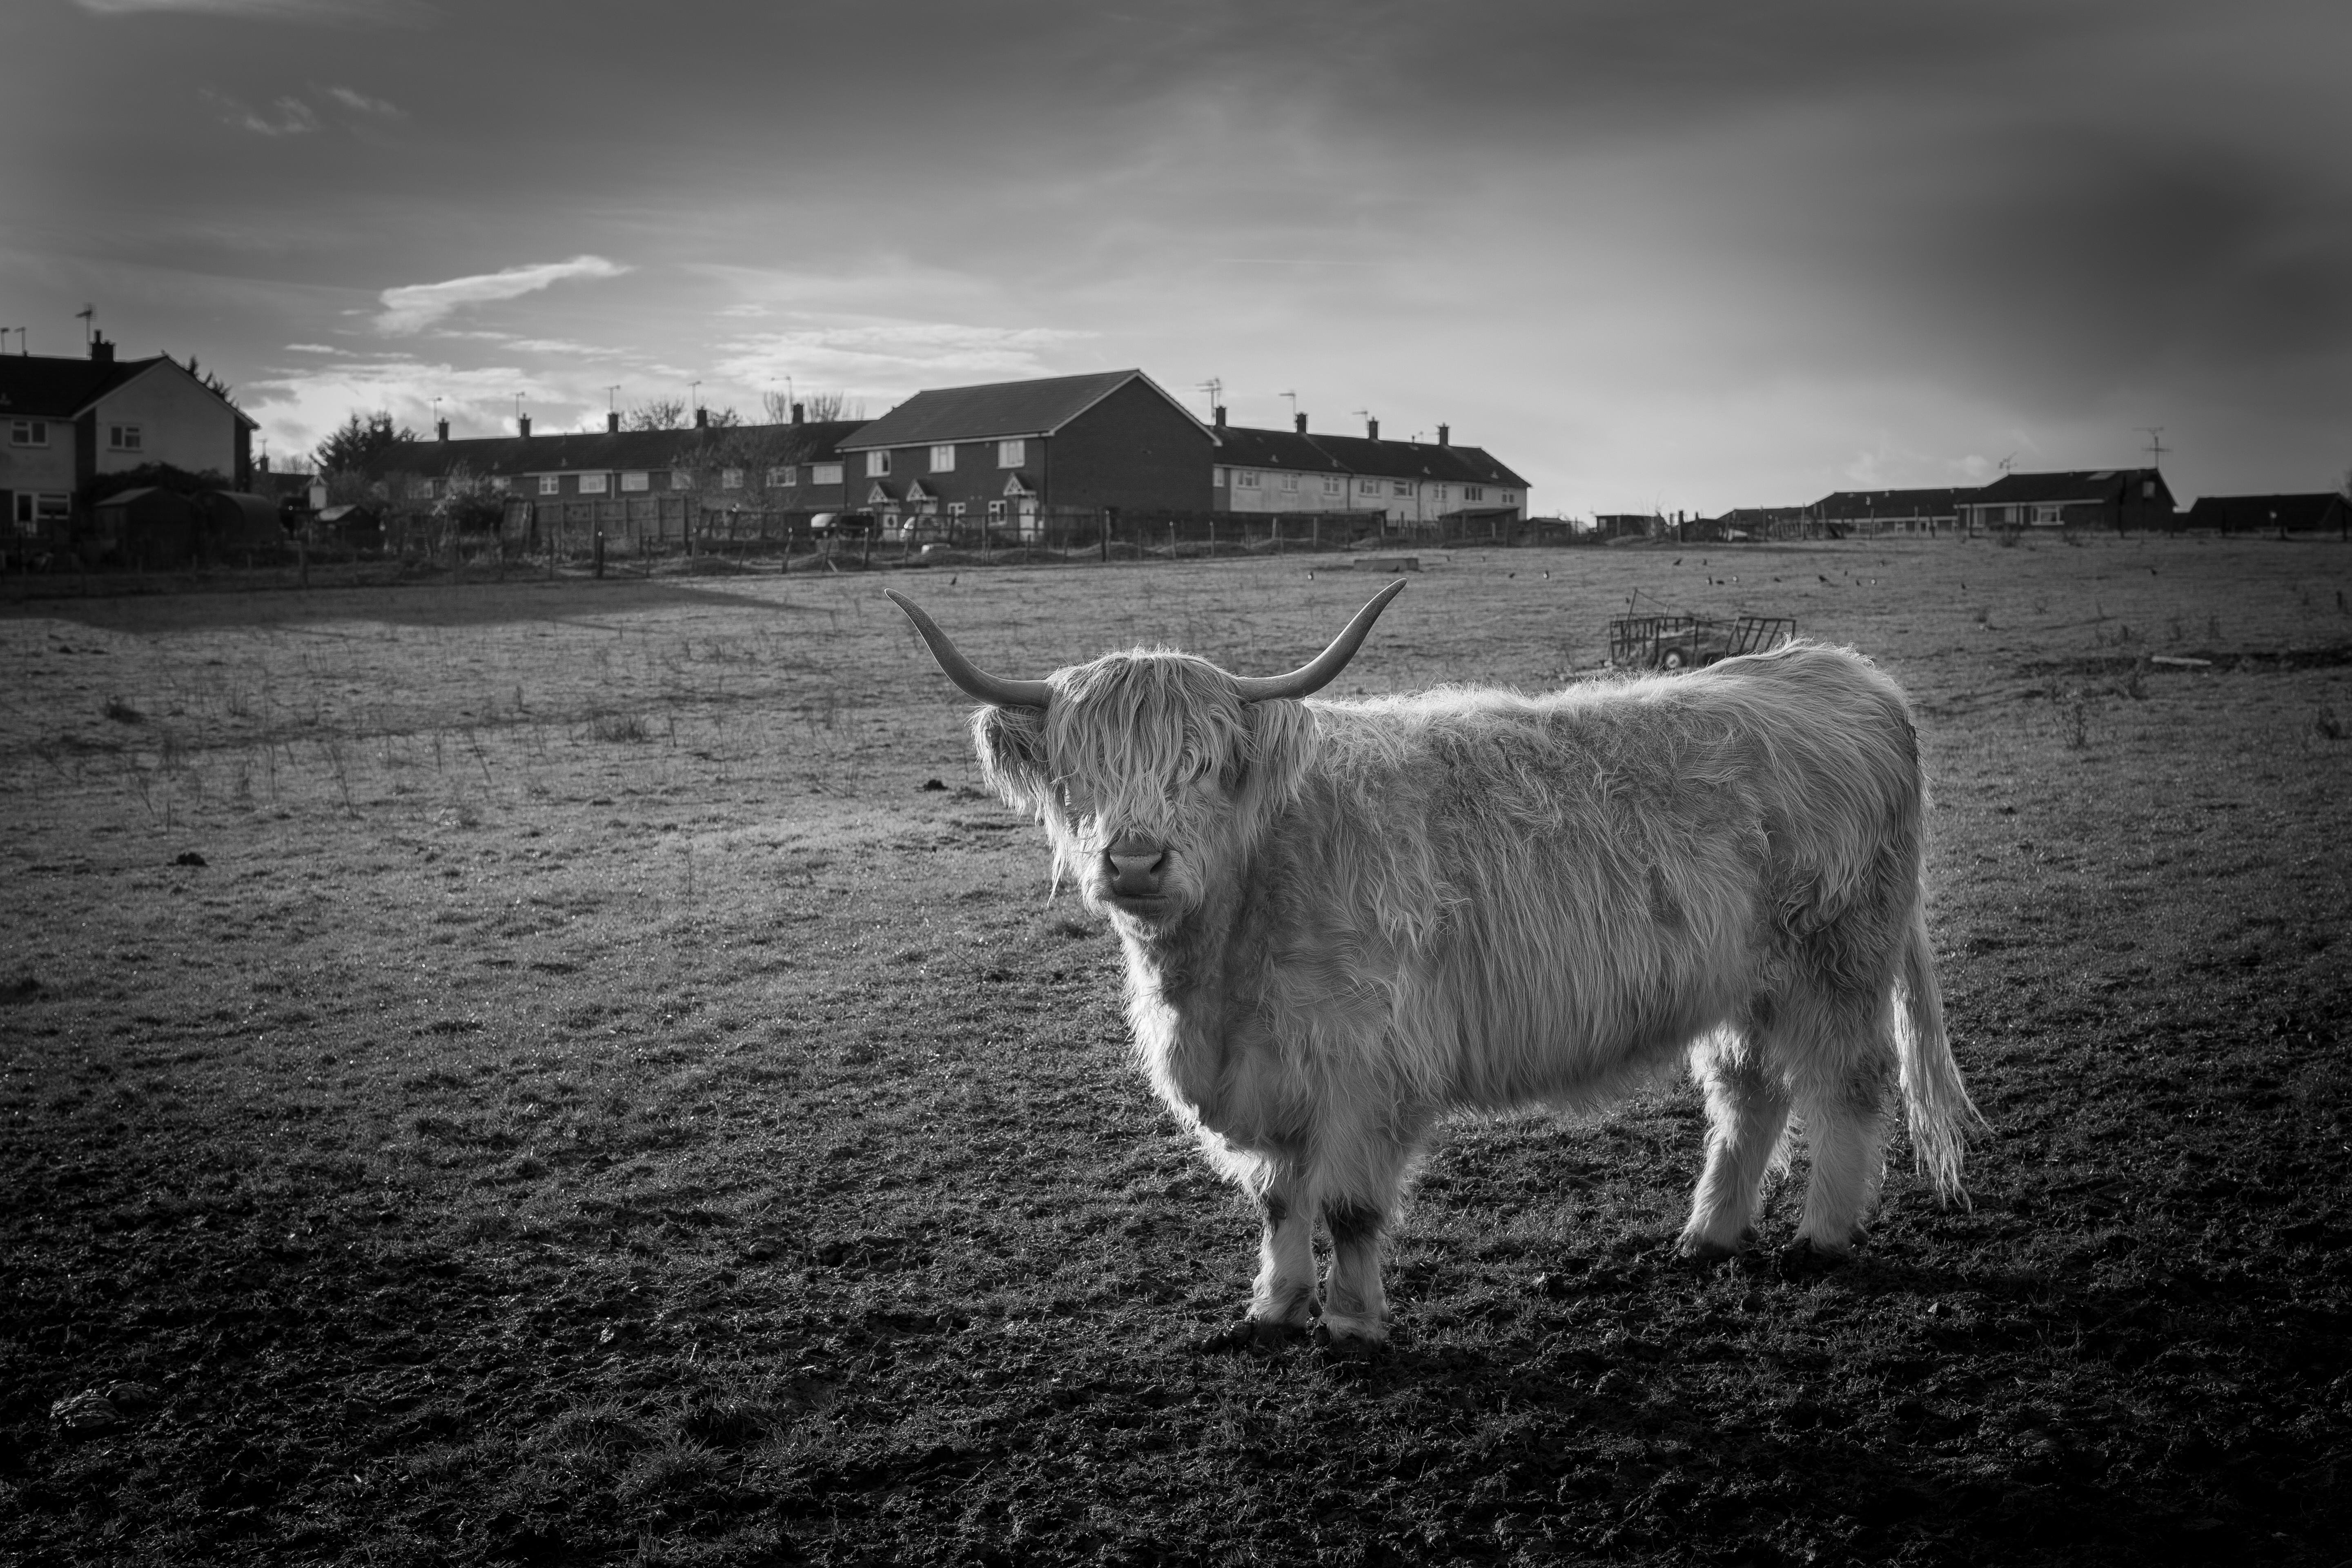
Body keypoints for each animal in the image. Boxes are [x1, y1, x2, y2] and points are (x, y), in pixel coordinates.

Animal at [887, 583, 1980, 1345]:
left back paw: (1820, 1238)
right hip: (1741, 982)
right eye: (1082, 773)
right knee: (1749, 1091)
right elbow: (1278, 1200)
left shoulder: (1368, 1070)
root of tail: (1834, 669)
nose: (1135, 859)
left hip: (1838, 961)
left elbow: (1349, 1204)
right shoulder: (1270, 1076)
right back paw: (1706, 1233)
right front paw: (1273, 1308)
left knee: (1847, 1084)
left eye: (1202, 765)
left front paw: (1351, 1322)